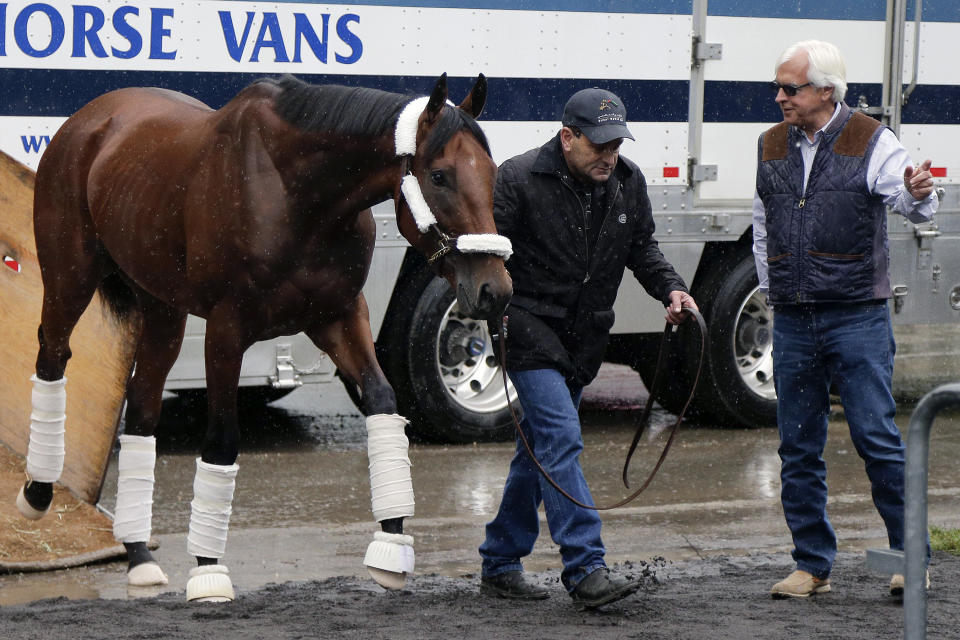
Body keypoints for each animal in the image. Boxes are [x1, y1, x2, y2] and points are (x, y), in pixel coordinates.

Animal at [16, 74, 510, 600]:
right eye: (438, 176)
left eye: (491, 173)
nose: (494, 290)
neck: (298, 195)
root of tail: (90, 119)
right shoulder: (226, 330)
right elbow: (221, 442)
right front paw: (208, 572)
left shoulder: (340, 316)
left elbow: (382, 399)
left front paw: (391, 546)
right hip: (70, 278)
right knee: (52, 357)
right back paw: (37, 492)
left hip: (163, 310)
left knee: (143, 407)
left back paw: (138, 556)